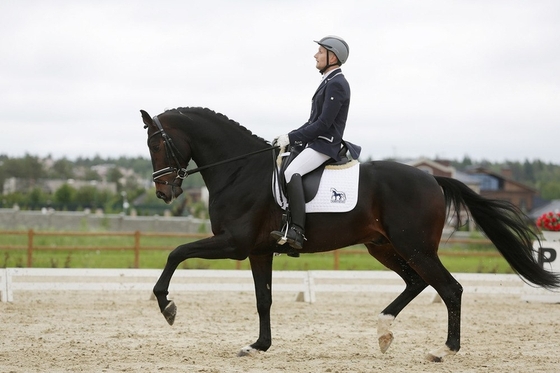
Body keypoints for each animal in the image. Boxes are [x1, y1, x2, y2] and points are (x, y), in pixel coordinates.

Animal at [141, 107, 560, 360]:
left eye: (157, 143)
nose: (164, 192)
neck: (240, 171)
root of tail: (432, 178)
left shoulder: (234, 244)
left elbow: (176, 252)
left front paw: (167, 306)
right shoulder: (259, 250)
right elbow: (264, 300)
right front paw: (259, 345)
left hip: (414, 246)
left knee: (449, 288)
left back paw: (445, 350)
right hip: (384, 246)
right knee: (417, 283)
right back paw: (384, 331)